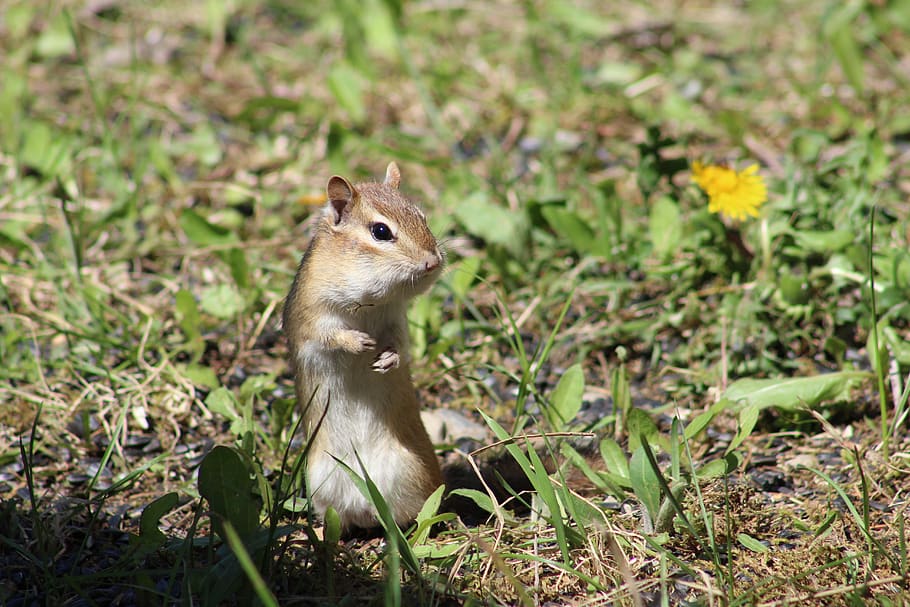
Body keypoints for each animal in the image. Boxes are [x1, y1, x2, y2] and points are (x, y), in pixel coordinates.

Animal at [283, 162, 444, 531]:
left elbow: (400, 344)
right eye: (381, 231)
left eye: (423, 216)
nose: (432, 262)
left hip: (410, 473)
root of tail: (364, 506)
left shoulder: (397, 319)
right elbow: (326, 336)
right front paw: (358, 342)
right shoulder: (311, 316)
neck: (369, 301)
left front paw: (388, 359)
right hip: (320, 482)